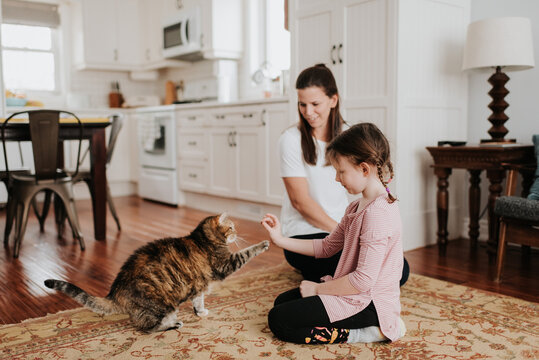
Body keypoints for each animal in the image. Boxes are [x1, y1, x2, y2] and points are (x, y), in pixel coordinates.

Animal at [44, 212, 270, 334]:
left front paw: (200, 312)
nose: (237, 234)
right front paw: (264, 243)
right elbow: (247, 252)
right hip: (161, 305)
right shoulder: (226, 264)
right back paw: (173, 325)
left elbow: (198, 300)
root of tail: (115, 291)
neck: (202, 239)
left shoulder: (198, 286)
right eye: (231, 227)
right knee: (147, 328)